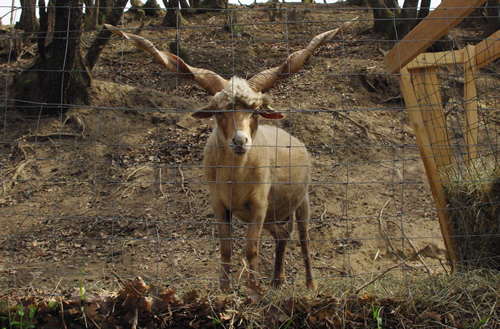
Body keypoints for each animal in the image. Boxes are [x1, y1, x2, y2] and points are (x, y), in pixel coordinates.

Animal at [104, 19, 356, 290]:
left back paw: (310, 285)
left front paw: (255, 292)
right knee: (283, 235)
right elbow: (226, 249)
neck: (237, 177)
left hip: (302, 202)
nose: (240, 141)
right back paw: (277, 281)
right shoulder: (219, 203)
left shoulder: (259, 204)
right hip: (275, 212)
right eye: (219, 111)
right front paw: (225, 291)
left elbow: (251, 249)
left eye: (256, 111)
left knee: (303, 238)